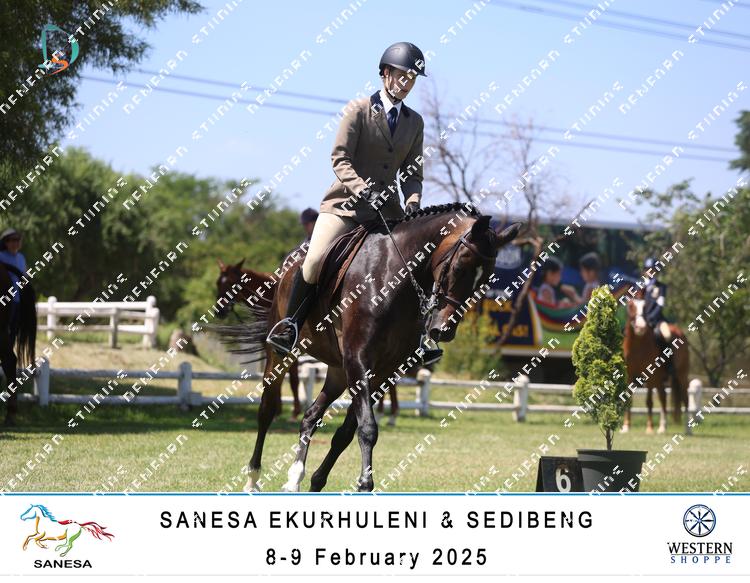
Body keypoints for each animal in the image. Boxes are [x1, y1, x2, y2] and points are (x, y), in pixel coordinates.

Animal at [219, 203, 522, 492]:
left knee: (311, 416)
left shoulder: (384, 370)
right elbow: (367, 428)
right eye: (459, 268)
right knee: (267, 409)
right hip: (283, 355)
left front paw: (319, 481)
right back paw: (253, 480)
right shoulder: (359, 361)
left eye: (485, 281)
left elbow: (346, 432)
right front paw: (365, 484)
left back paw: (295, 478)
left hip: (338, 370)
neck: (394, 278)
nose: (443, 330)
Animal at [622, 295, 690, 434]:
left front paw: (649, 428)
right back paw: (662, 427)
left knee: (685, 398)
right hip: (659, 379)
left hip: (681, 375)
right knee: (663, 397)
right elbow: (628, 399)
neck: (638, 346)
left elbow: (649, 401)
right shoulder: (629, 376)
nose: (641, 327)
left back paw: (687, 430)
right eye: (631, 306)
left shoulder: (650, 377)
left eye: (645, 306)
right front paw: (626, 426)